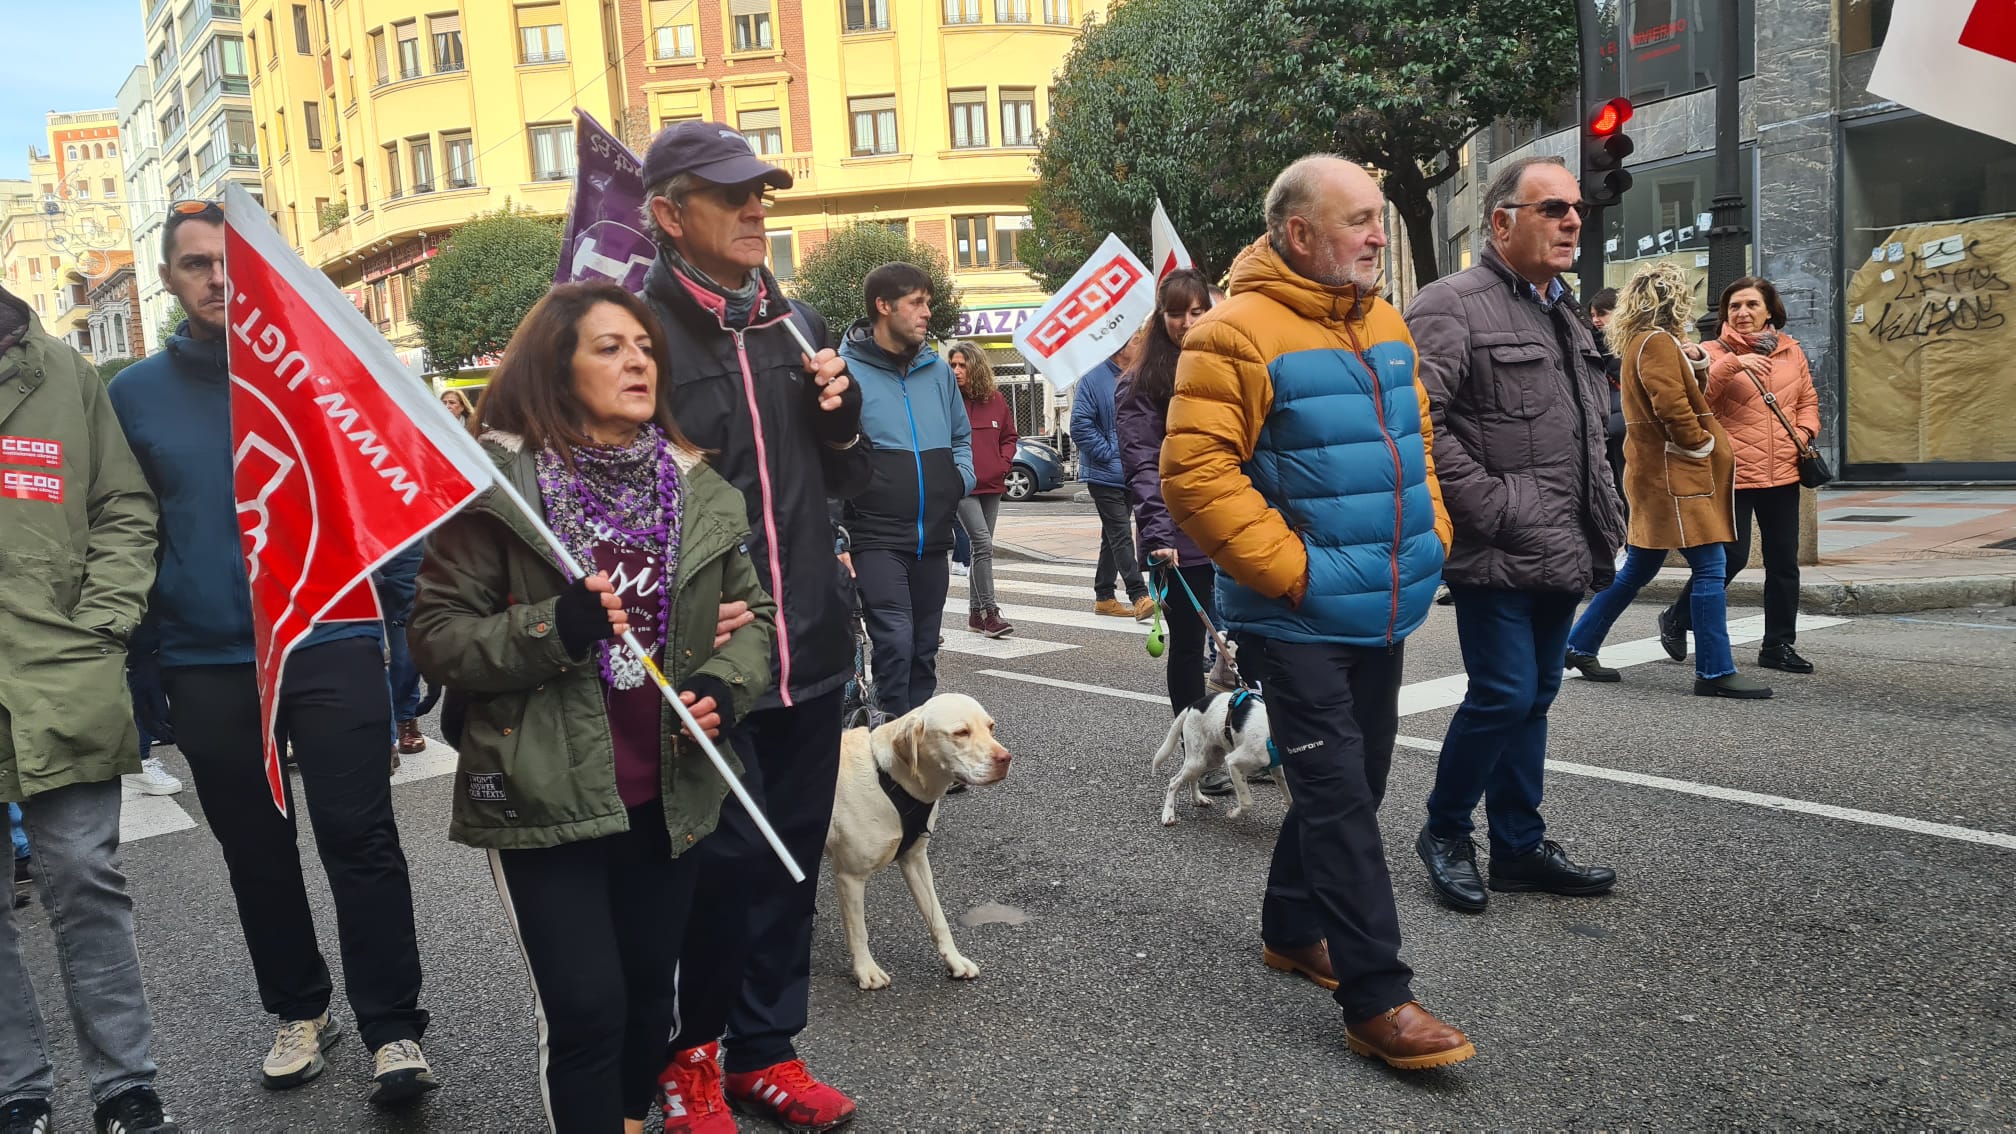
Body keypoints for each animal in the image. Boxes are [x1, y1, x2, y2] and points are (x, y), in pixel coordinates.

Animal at [818, 686, 1008, 984]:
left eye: (990, 727)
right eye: (960, 732)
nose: (1005, 759)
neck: (888, 779)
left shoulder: (916, 860)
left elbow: (938, 919)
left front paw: (954, 961)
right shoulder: (850, 876)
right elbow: (858, 930)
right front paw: (866, 970)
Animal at [1153, 690, 1290, 819]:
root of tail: (1192, 705)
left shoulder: (1277, 769)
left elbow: (1289, 796)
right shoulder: (1233, 762)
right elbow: (1247, 803)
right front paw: (1233, 815)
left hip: (1210, 760)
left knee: (1192, 778)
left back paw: (1198, 798)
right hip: (1197, 761)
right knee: (1174, 782)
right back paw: (1168, 815)